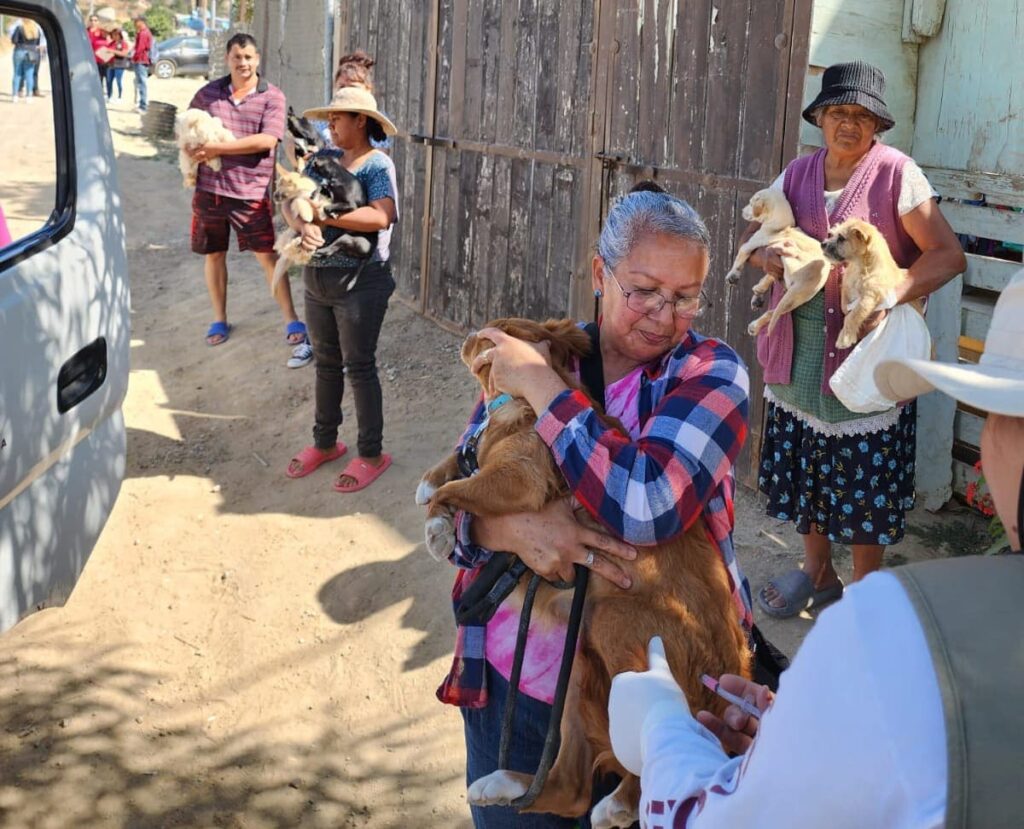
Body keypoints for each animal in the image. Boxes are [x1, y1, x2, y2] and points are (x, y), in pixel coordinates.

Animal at [417, 317, 753, 826]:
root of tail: (733, 676)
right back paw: (505, 783)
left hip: (612, 624)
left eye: (493, 334)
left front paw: (438, 523)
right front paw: (431, 489)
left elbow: (460, 486)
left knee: (655, 734)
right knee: (570, 787)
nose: (471, 335)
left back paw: (620, 801)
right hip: (576, 668)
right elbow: (459, 459)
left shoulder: (518, 478)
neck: (518, 404)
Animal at [729, 188, 831, 335]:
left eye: (751, 202)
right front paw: (759, 288)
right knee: (773, 312)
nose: (742, 210)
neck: (782, 225)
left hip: (787, 257)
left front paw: (732, 276)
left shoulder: (750, 243)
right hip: (796, 299)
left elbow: (741, 256)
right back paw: (755, 325)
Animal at [823, 215, 913, 347]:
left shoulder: (869, 297)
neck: (859, 267)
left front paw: (845, 338)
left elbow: (852, 315)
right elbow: (845, 300)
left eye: (841, 238)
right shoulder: (847, 285)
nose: (822, 244)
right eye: (833, 235)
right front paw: (845, 308)